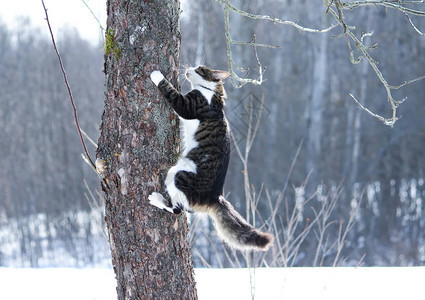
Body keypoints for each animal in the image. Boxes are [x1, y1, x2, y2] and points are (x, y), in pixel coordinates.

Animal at [147, 65, 274, 251]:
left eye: (199, 69)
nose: (189, 67)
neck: (211, 92)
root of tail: (215, 197)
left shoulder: (187, 106)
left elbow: (170, 91)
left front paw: (156, 75)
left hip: (177, 174)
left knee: (177, 209)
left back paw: (156, 199)